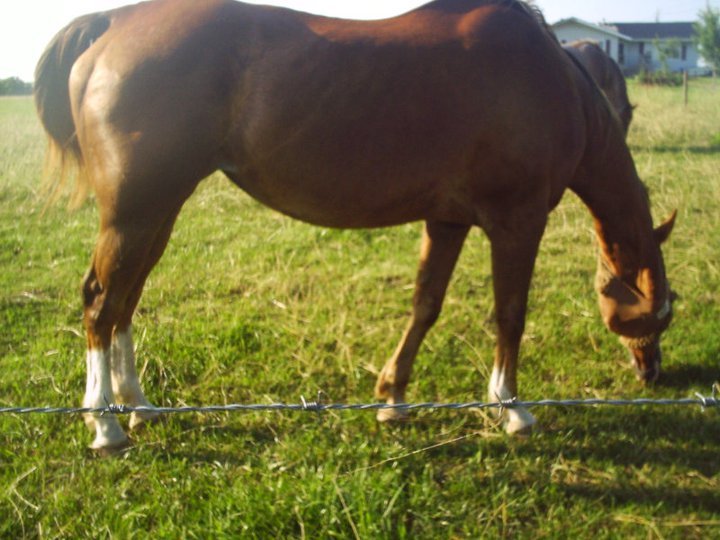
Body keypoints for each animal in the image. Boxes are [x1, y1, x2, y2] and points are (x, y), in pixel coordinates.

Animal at [34, 0, 675, 453]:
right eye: (662, 313)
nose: (652, 374)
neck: (552, 80)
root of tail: (114, 21)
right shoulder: (517, 221)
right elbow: (510, 315)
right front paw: (511, 408)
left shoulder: (447, 220)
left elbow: (425, 304)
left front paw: (393, 397)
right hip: (137, 212)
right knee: (100, 303)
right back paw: (106, 427)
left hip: (156, 213)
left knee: (124, 303)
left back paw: (137, 405)